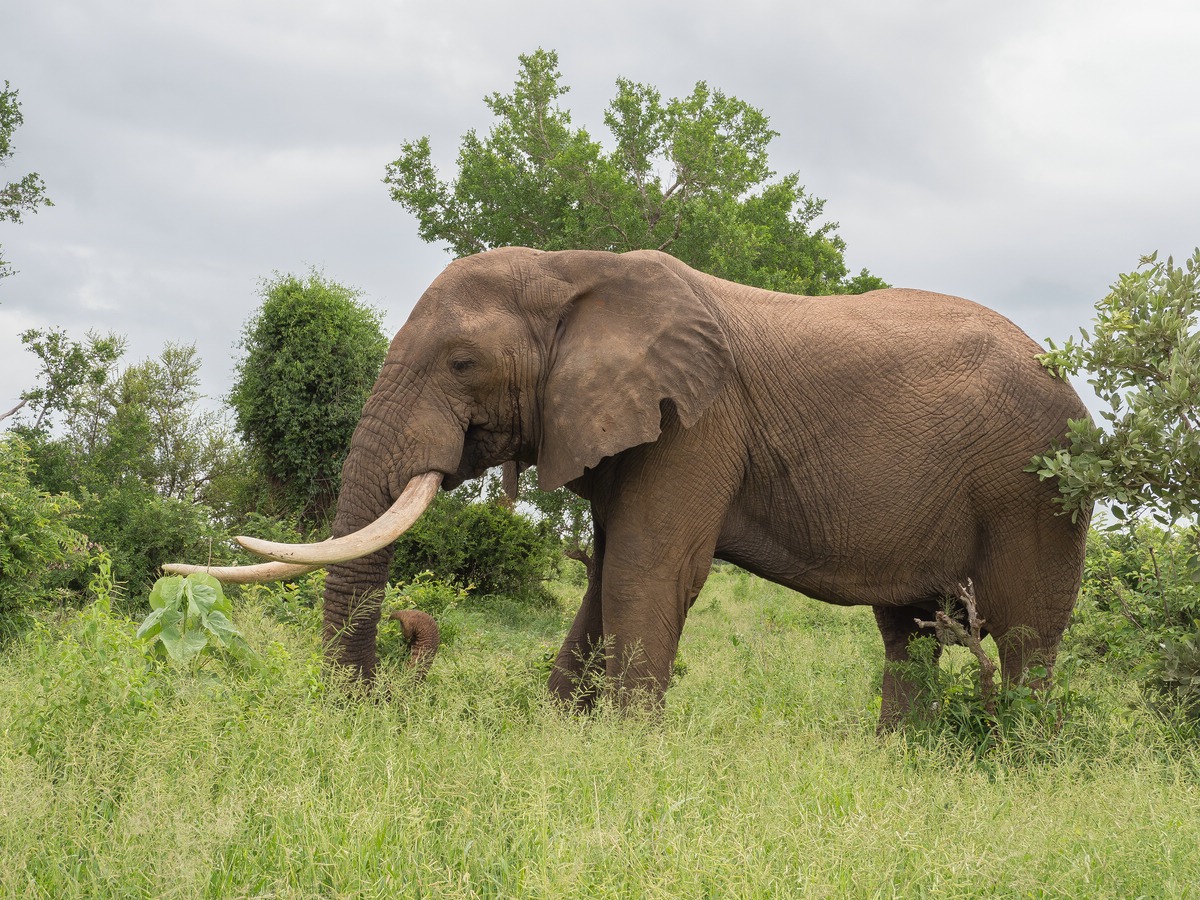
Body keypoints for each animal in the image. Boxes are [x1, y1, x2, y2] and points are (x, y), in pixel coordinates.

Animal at [164, 250, 1094, 729]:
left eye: (461, 363)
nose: (407, 624)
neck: (571, 271)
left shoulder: (696, 424)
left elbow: (651, 573)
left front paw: (626, 749)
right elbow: (605, 576)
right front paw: (559, 732)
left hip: (1036, 490)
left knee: (1024, 635)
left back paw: (1019, 758)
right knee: (910, 635)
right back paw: (894, 757)